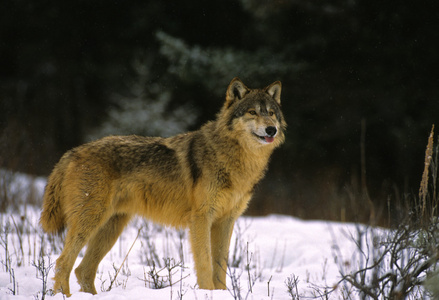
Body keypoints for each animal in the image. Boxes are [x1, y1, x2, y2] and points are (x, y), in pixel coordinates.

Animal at [39, 77, 288, 296]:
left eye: (271, 113)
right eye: (252, 112)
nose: (271, 130)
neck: (233, 159)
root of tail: (72, 152)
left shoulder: (226, 220)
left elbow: (221, 268)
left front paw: (221, 293)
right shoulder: (201, 218)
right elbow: (205, 264)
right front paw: (208, 293)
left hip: (110, 228)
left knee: (83, 270)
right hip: (90, 222)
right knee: (62, 262)